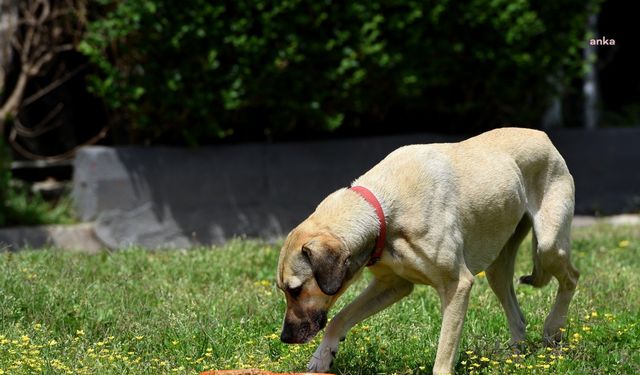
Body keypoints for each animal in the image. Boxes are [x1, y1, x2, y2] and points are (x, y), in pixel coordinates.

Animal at [276, 127, 580, 375]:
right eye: (284, 290)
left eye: (295, 290)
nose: (285, 338)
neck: (383, 208)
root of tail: (543, 135)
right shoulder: (393, 285)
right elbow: (338, 319)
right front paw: (322, 357)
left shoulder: (458, 286)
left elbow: (443, 358)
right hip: (498, 266)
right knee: (517, 315)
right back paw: (515, 357)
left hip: (549, 245)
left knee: (571, 277)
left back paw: (553, 330)